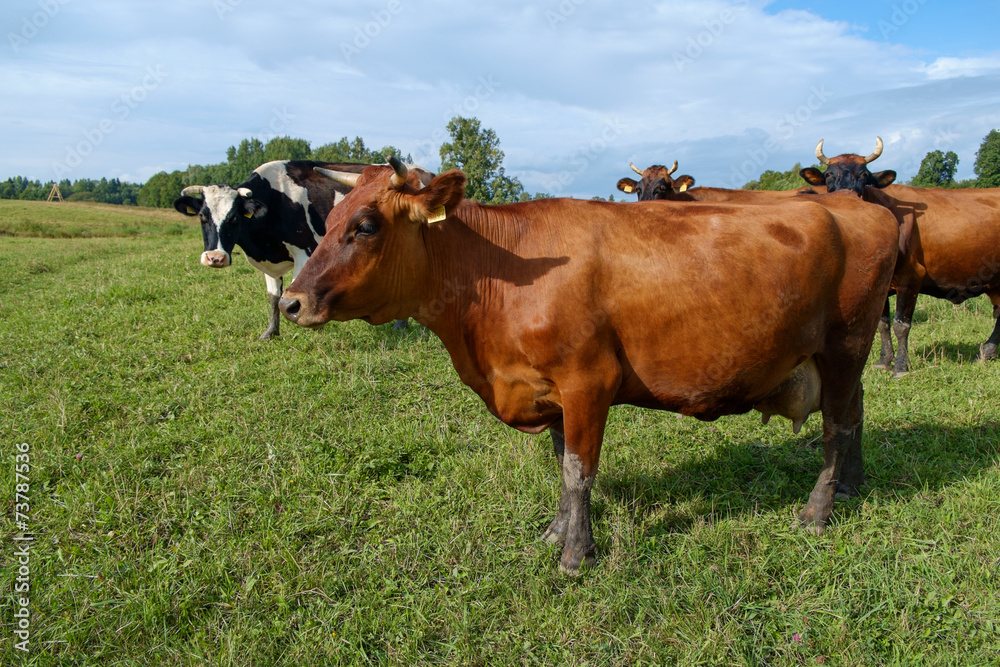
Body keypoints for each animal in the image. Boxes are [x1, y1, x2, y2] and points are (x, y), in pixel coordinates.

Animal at [175, 160, 430, 340]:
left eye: (235, 218)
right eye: (202, 217)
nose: (215, 258)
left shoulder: (303, 251)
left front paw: (312, 327)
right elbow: (274, 297)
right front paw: (271, 333)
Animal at [280, 159, 900, 576]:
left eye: (366, 226)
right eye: (327, 220)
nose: (291, 302)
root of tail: (857, 205)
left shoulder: (587, 382)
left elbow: (580, 471)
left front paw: (577, 554)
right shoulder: (546, 389)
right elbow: (562, 467)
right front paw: (555, 534)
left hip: (846, 344)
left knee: (835, 428)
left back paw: (818, 510)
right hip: (844, 356)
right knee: (854, 415)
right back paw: (851, 487)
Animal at [800, 138, 1000, 376]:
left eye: (864, 175)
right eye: (829, 174)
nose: (846, 197)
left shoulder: (911, 276)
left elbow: (901, 325)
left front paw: (901, 366)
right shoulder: (880, 281)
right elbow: (882, 323)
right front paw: (884, 361)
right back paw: (987, 352)